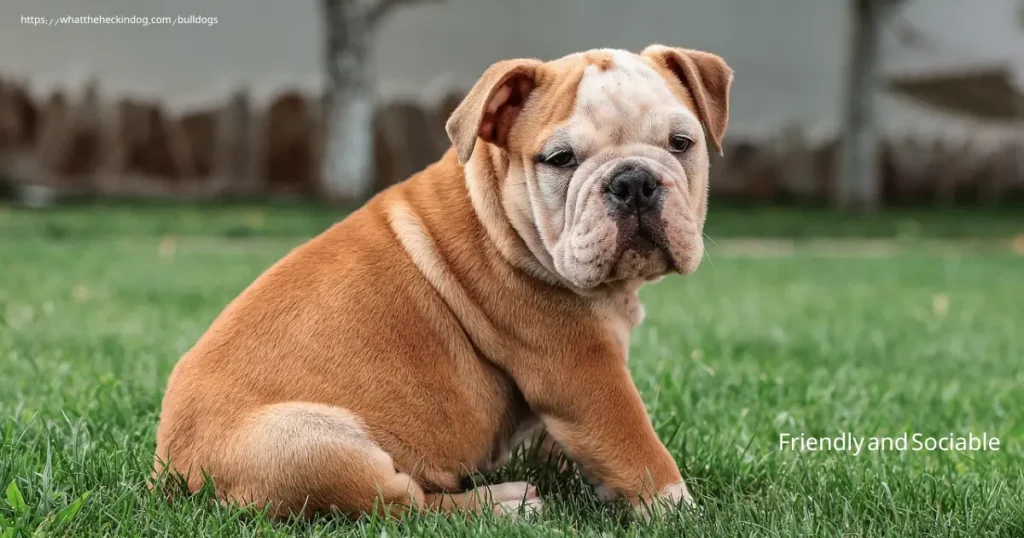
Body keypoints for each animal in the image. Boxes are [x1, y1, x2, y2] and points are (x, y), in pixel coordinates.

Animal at [151, 47, 733, 520]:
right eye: (560, 159)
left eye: (681, 143)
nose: (633, 182)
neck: (500, 211)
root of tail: (169, 473)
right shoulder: (584, 371)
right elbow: (636, 444)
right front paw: (677, 510)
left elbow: (573, 443)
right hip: (309, 445)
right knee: (402, 504)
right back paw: (504, 504)